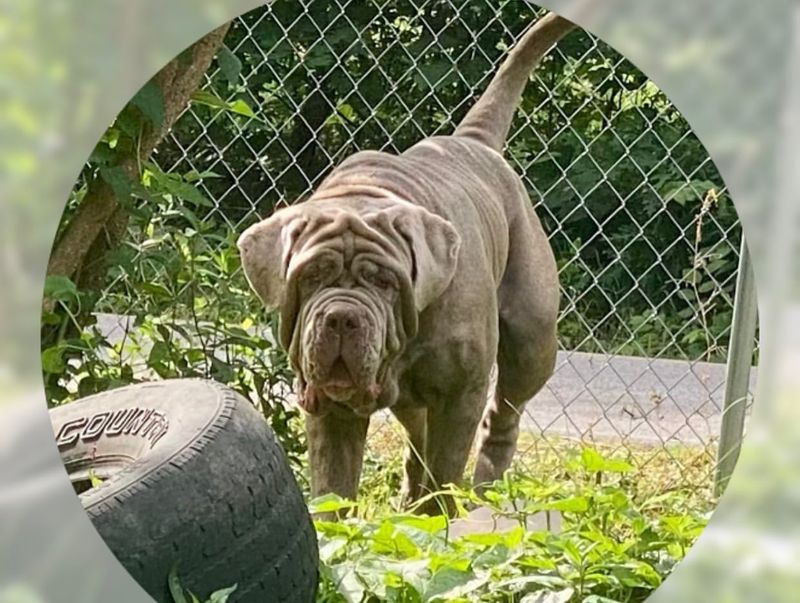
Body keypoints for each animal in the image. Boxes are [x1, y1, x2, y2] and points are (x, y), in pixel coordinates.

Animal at [238, 11, 576, 516]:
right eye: (312, 276)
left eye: (384, 281)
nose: (341, 317)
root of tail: (473, 143)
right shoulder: (328, 404)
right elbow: (334, 482)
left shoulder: (460, 393)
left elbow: (445, 469)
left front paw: (438, 521)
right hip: (411, 396)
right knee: (417, 433)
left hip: (531, 335)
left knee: (503, 413)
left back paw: (486, 491)